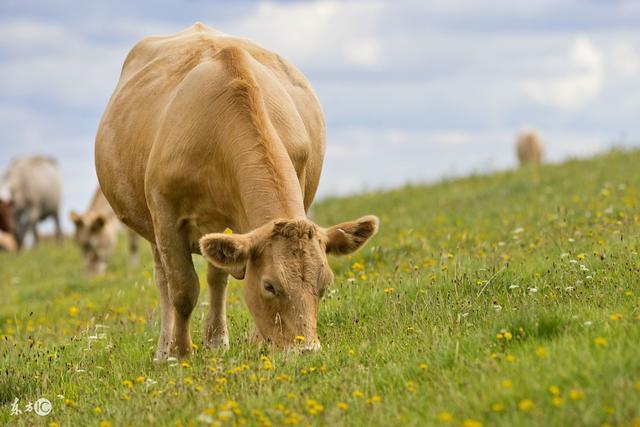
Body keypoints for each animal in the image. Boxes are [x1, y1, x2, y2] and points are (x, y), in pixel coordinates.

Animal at [92, 21, 378, 360]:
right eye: (270, 286)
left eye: (324, 285)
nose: (306, 349)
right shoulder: (165, 215)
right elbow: (182, 288)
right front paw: (180, 352)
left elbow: (217, 278)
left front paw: (255, 340)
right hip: (150, 226)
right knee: (163, 280)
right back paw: (164, 351)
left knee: (216, 277)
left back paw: (216, 340)